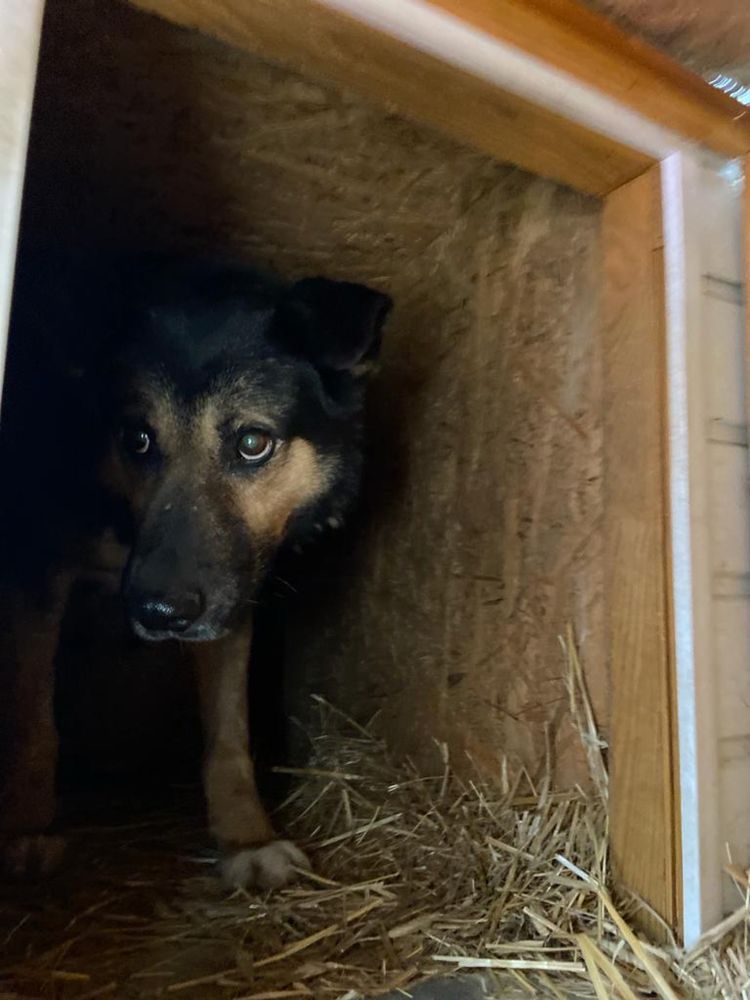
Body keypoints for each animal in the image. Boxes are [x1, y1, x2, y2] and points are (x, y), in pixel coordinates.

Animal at [0, 252, 390, 892]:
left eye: (253, 442)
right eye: (136, 439)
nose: (157, 612)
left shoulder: (231, 596)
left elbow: (228, 733)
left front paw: (245, 835)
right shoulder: (38, 571)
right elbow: (32, 717)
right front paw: (24, 830)